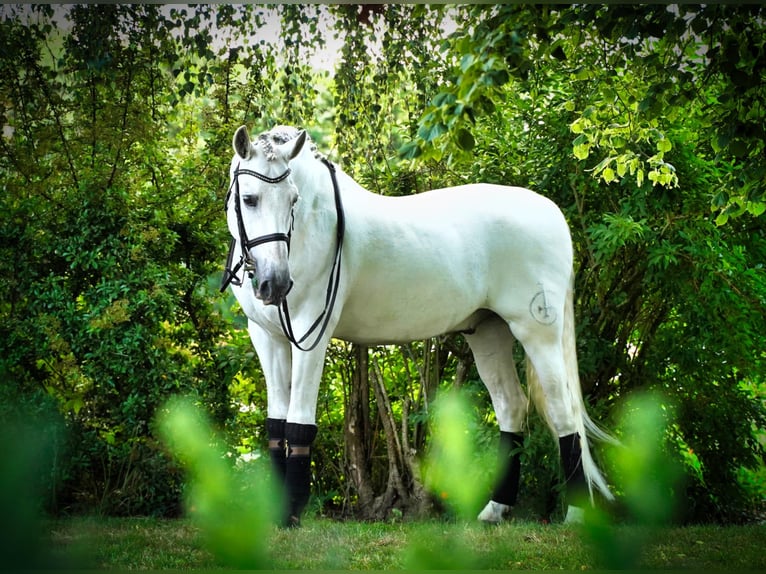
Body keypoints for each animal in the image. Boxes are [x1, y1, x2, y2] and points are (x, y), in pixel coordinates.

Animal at [222, 124, 616, 528]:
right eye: (249, 199)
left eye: (293, 200)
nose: (275, 283)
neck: (314, 229)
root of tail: (551, 212)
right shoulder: (267, 337)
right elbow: (275, 424)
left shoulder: (311, 334)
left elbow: (297, 423)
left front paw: (290, 513)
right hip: (488, 334)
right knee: (511, 406)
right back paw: (494, 509)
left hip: (537, 333)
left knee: (561, 411)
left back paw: (576, 514)